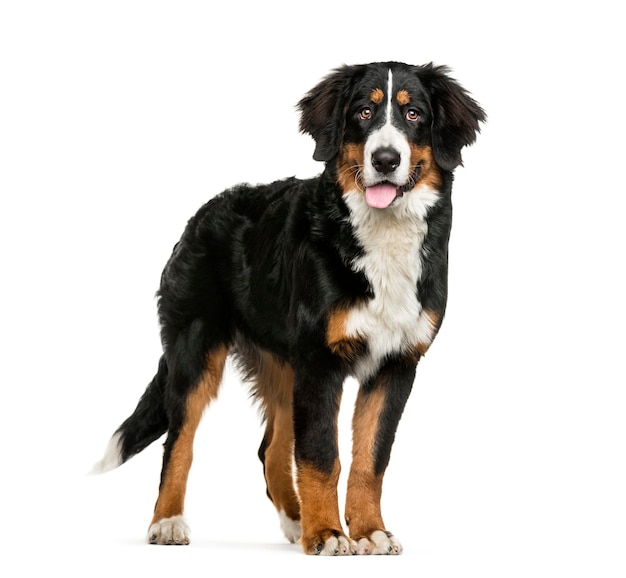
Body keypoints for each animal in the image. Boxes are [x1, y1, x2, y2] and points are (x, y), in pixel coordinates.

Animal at [92, 59, 486, 552]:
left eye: (413, 114)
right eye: (363, 112)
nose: (385, 159)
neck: (380, 238)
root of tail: (202, 213)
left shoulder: (395, 364)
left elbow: (369, 460)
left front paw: (367, 530)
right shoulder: (320, 361)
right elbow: (321, 455)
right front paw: (328, 533)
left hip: (281, 365)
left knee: (272, 448)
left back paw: (295, 521)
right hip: (195, 350)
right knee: (179, 441)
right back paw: (168, 522)